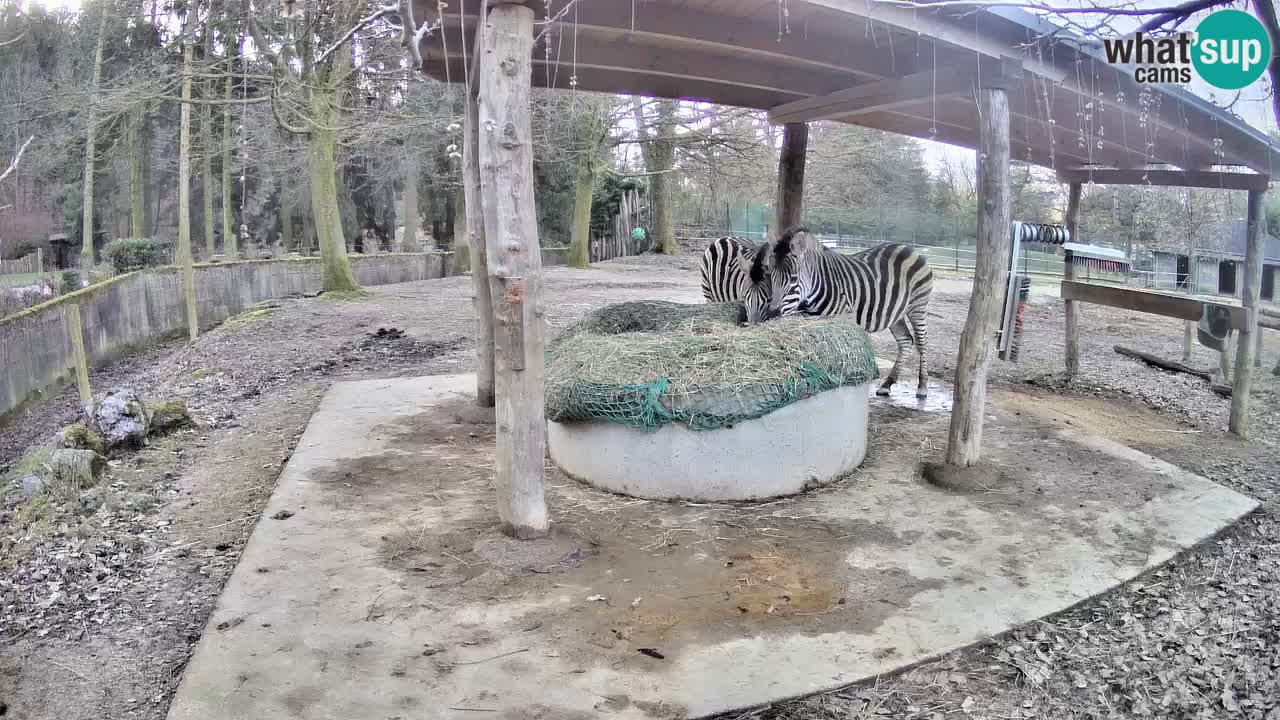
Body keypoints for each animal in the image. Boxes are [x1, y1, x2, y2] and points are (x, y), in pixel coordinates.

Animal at [742, 225, 931, 397]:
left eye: (793, 279)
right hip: (895, 313)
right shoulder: (811, 319)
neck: (817, 284)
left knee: (922, 343)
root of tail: (909, 248)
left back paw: (922, 387)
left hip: (918, 307)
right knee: (905, 341)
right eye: (771, 277)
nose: (772, 316)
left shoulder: (839, 317)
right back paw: (887, 384)